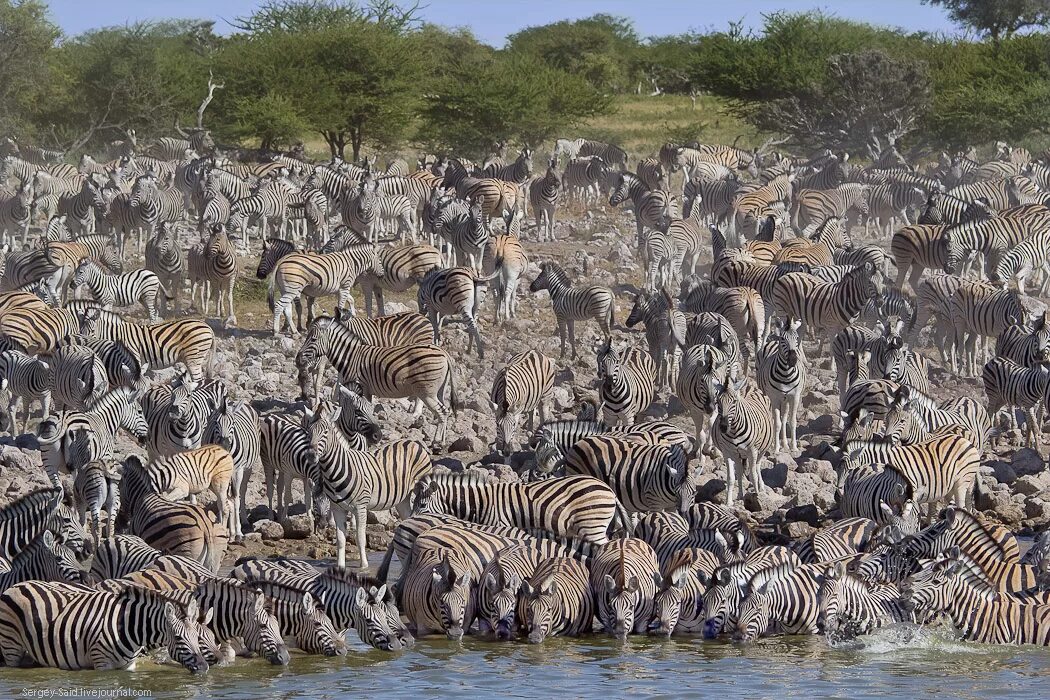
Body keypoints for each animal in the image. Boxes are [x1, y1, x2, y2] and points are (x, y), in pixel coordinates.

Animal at [306, 405, 432, 570]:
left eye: (325, 432)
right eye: (309, 432)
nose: (310, 455)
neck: (336, 471)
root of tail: (412, 442)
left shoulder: (360, 507)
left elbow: (360, 537)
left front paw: (364, 566)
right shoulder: (337, 508)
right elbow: (340, 539)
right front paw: (340, 566)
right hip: (402, 499)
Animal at [409, 470, 621, 545]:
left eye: (422, 505)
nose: (410, 520)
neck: (481, 502)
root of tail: (610, 490)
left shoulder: (499, 524)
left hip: (592, 525)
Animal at [760, 319, 806, 451]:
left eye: (797, 338)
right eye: (783, 339)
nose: (792, 360)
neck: (786, 374)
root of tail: (773, 340)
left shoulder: (795, 397)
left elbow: (792, 421)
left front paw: (794, 447)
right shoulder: (775, 398)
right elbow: (777, 423)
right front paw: (776, 449)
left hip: (785, 400)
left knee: (784, 418)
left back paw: (785, 444)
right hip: (768, 395)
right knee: (773, 418)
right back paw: (774, 444)